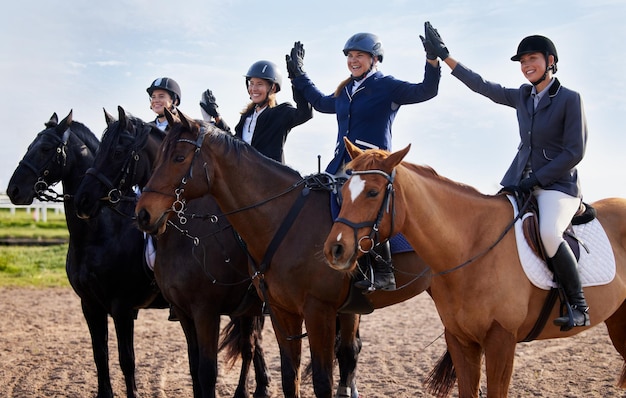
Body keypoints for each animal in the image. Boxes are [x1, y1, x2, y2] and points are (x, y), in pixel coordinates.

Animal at [5, 110, 171, 398]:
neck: (99, 234)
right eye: (30, 146)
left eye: (45, 148)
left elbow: (127, 361)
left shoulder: (122, 308)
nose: (13, 190)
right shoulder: (90, 305)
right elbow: (99, 356)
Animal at [71, 106, 270, 398]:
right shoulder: (181, 311)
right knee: (250, 346)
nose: (82, 200)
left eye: (117, 152)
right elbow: (194, 368)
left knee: (251, 347)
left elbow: (205, 372)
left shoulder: (202, 311)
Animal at [132, 109, 432, 398]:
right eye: (158, 158)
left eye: (179, 158)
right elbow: (289, 377)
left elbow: (320, 382)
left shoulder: (314, 311)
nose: (143, 213)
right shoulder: (279, 311)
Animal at [320, 138, 624, 398]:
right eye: (343, 191)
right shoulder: (460, 340)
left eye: (372, 192)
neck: (472, 245)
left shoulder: (501, 340)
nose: (335, 249)